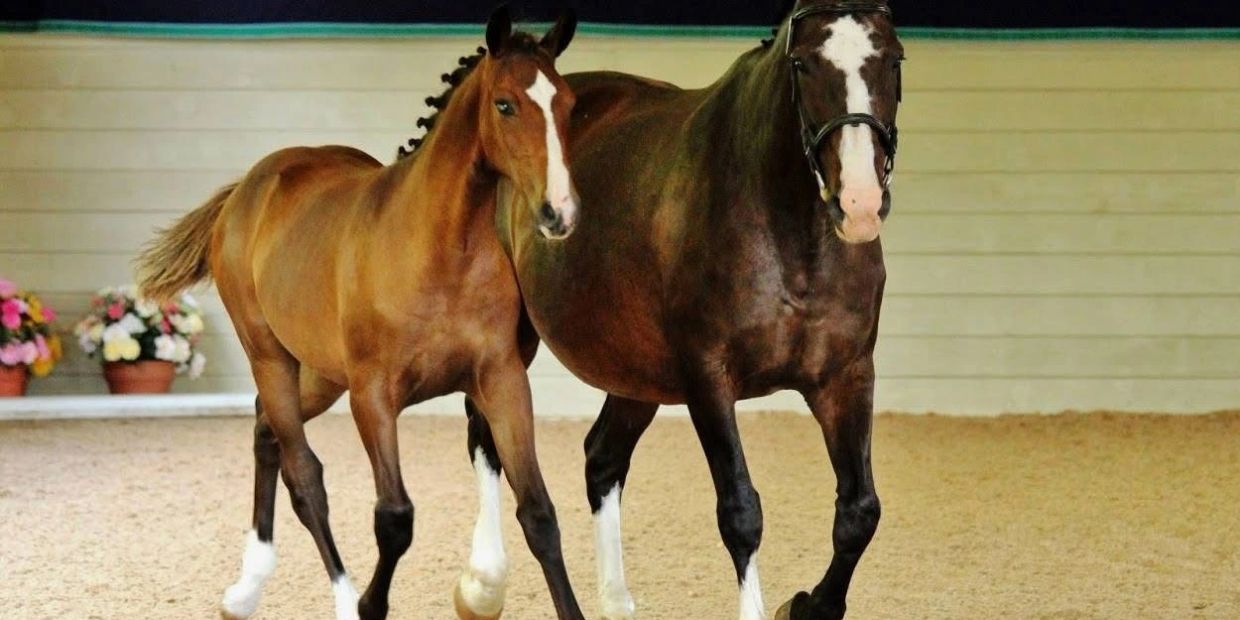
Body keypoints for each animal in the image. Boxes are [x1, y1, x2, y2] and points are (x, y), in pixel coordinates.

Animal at [136, 8, 588, 620]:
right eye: (505, 104)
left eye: (567, 104)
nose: (559, 213)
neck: (439, 251)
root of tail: (248, 188)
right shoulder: (373, 395)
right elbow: (394, 517)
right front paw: (369, 604)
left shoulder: (501, 382)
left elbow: (539, 513)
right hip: (272, 358)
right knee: (305, 476)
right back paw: (327, 595)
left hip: (320, 374)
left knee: (265, 430)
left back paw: (246, 587)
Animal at [465, 1, 905, 619]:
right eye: (803, 63)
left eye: (894, 59)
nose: (860, 203)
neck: (789, 235)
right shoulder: (708, 379)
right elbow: (741, 513)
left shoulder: (846, 376)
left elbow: (860, 511)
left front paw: (810, 604)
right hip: (508, 343)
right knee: (486, 436)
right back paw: (483, 585)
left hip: (636, 373)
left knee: (602, 458)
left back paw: (616, 601)